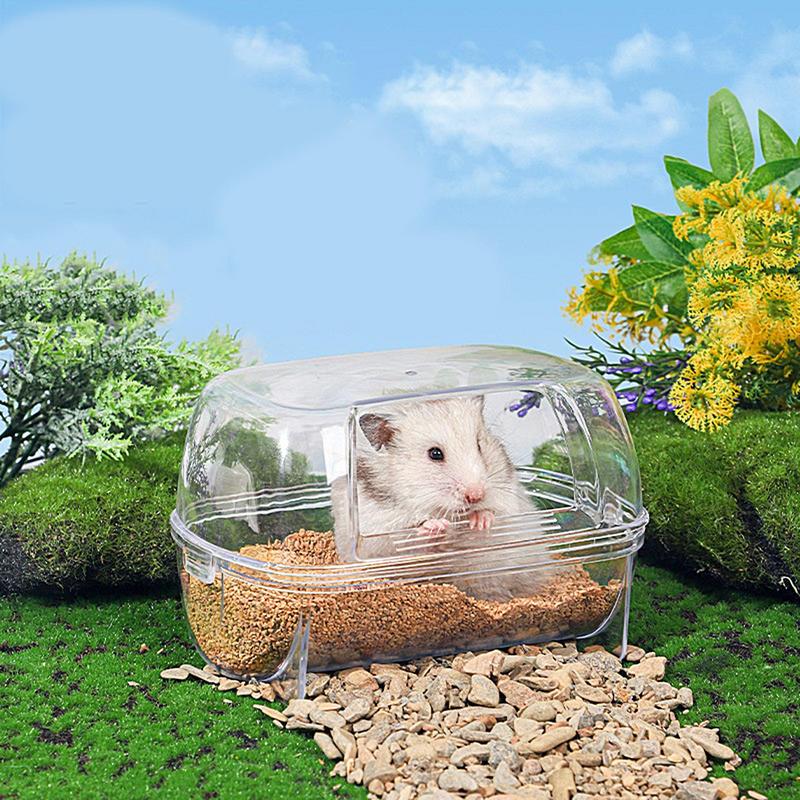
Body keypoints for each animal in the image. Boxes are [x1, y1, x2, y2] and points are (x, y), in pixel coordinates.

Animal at [331, 396, 558, 601]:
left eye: (479, 445)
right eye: (435, 453)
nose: (476, 495)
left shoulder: (509, 507)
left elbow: (490, 522)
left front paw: (480, 520)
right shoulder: (378, 537)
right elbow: (412, 538)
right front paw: (436, 526)